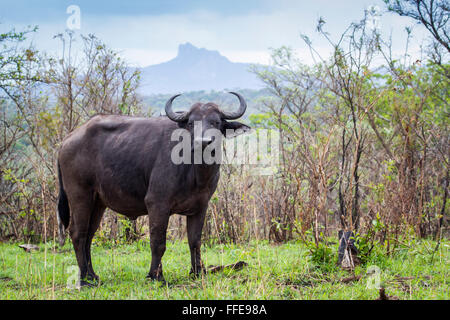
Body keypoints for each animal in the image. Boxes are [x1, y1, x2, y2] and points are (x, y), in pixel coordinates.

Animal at [57, 91, 250, 286]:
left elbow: (195, 241)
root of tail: (67, 140)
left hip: (98, 202)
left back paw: (92, 275)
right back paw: (84, 279)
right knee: (77, 233)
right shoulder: (157, 204)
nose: (202, 142)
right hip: (80, 195)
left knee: (89, 235)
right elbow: (158, 242)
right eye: (190, 123)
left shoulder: (200, 207)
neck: (196, 172)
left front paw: (197, 272)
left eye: (216, 122)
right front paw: (156, 276)